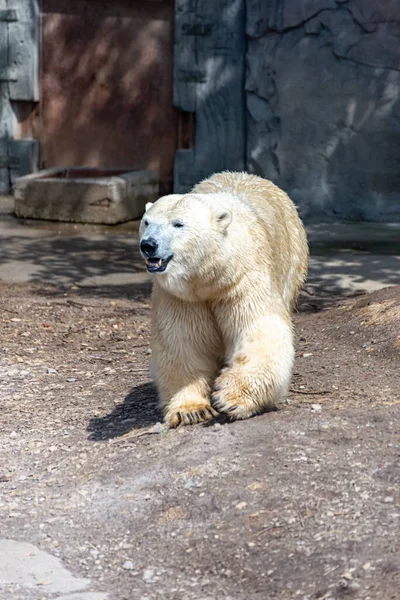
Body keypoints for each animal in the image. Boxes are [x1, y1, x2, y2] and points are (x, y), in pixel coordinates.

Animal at [139, 171, 308, 428]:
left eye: (178, 223)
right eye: (147, 222)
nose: (148, 245)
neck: (210, 278)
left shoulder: (243, 280)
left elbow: (258, 331)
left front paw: (232, 398)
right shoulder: (180, 298)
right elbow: (182, 342)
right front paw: (190, 411)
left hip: (293, 258)